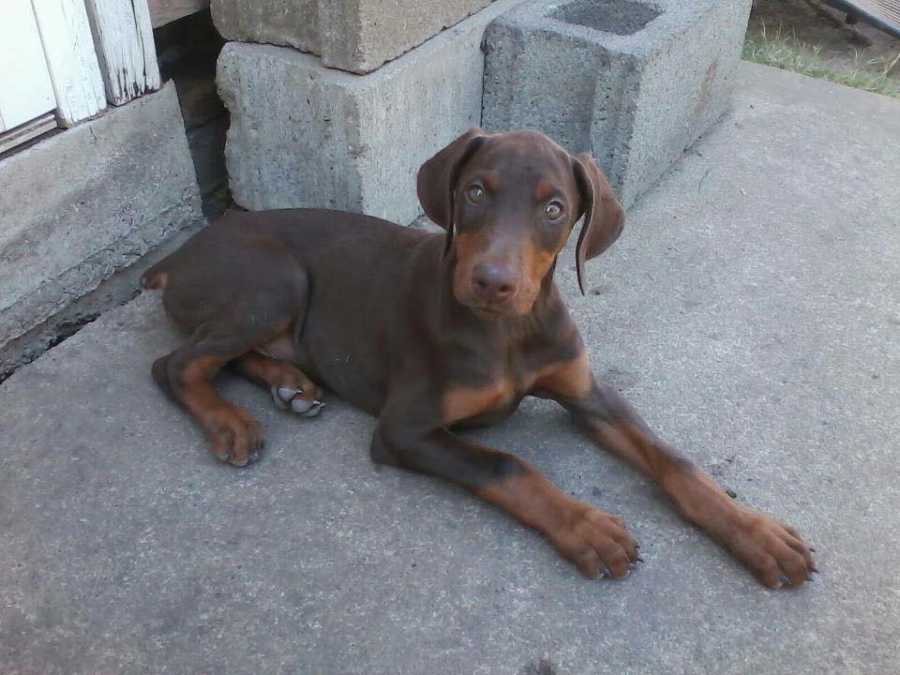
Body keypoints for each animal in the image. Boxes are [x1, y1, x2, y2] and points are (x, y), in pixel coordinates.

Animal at [142, 129, 816, 588]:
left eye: (554, 209)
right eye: (474, 192)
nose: (493, 282)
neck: (509, 331)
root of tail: (180, 255)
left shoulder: (587, 392)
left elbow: (674, 459)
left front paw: (756, 532)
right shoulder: (405, 428)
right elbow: (507, 465)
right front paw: (586, 526)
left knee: (228, 355)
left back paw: (290, 384)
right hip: (275, 280)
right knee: (176, 363)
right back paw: (232, 421)